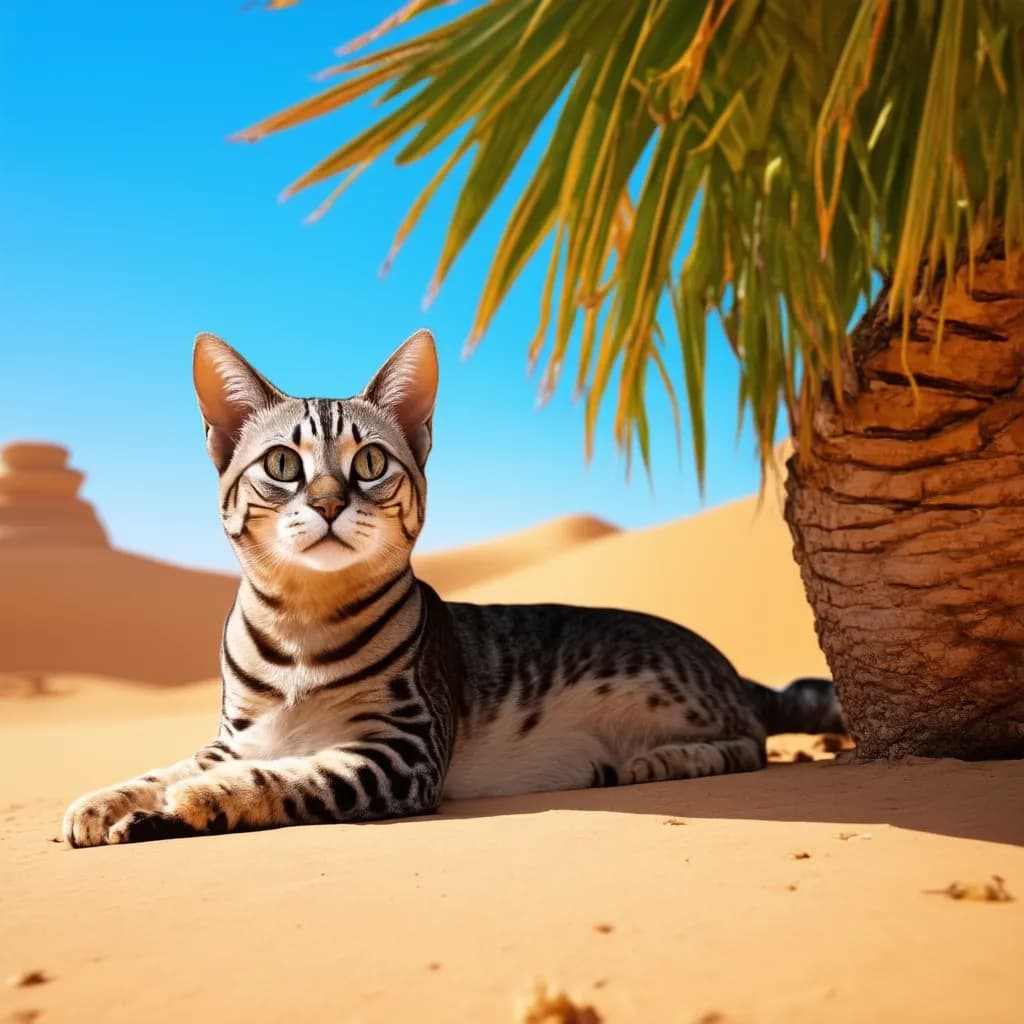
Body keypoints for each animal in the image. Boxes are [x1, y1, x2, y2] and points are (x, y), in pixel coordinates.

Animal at [61, 329, 839, 847]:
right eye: (282, 463)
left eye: (370, 462)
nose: (328, 502)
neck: (299, 632)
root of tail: (729, 666)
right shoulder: (233, 737)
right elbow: (159, 769)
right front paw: (106, 802)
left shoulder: (398, 751)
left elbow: (281, 779)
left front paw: (192, 800)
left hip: (717, 716)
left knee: (751, 742)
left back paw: (667, 758)